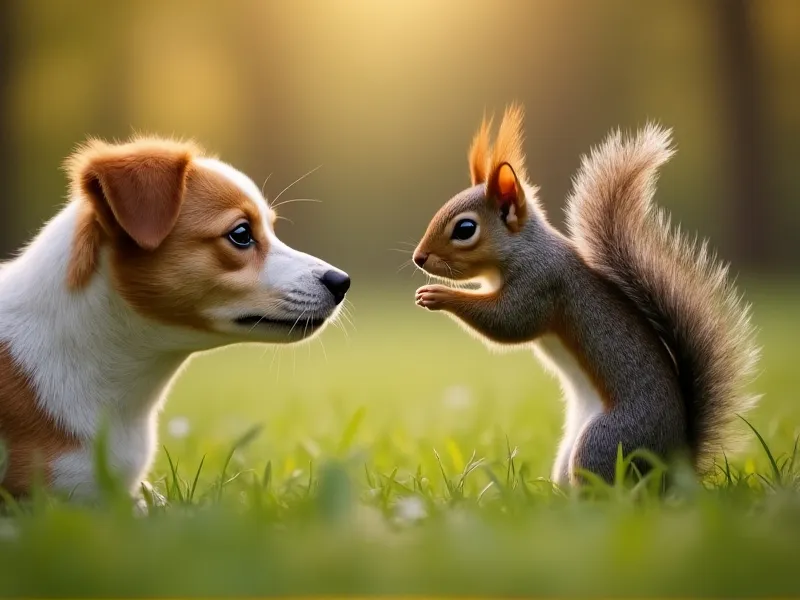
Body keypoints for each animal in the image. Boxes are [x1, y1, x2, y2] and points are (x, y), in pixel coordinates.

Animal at [412, 104, 760, 486]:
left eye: (465, 229)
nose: (418, 258)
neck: (523, 250)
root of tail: (674, 464)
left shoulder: (541, 282)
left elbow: (511, 323)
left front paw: (438, 295)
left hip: (603, 443)